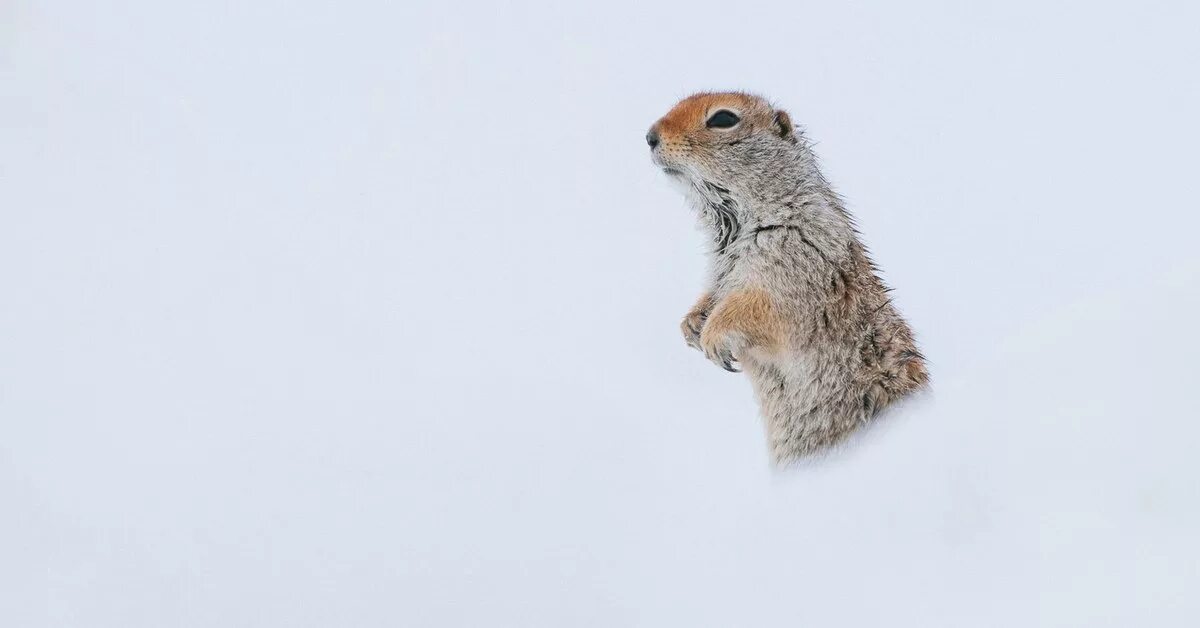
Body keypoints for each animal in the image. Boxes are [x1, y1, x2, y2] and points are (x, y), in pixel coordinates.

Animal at [648, 90, 926, 463]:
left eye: (723, 119)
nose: (650, 136)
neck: (737, 225)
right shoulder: (720, 272)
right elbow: (712, 293)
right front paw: (692, 323)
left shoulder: (796, 265)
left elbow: (759, 308)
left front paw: (712, 336)